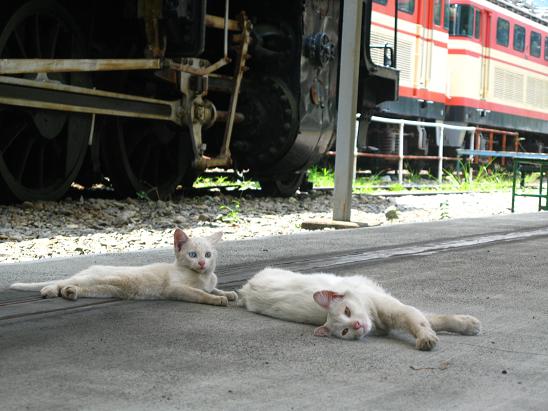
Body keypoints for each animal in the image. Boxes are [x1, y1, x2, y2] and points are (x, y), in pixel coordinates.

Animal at [9, 229, 235, 306]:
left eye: (208, 255)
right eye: (192, 255)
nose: (202, 263)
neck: (203, 277)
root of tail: (89, 268)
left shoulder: (209, 282)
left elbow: (214, 288)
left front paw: (228, 293)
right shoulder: (176, 289)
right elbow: (201, 294)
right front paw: (218, 299)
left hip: (101, 289)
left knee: (73, 286)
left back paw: (70, 293)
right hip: (92, 278)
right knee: (61, 281)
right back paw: (49, 290)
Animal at [239, 268, 480, 352]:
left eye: (347, 311)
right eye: (344, 331)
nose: (356, 324)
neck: (378, 322)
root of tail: (246, 289)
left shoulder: (400, 309)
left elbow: (435, 320)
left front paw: (467, 324)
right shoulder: (402, 312)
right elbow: (427, 323)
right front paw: (427, 338)